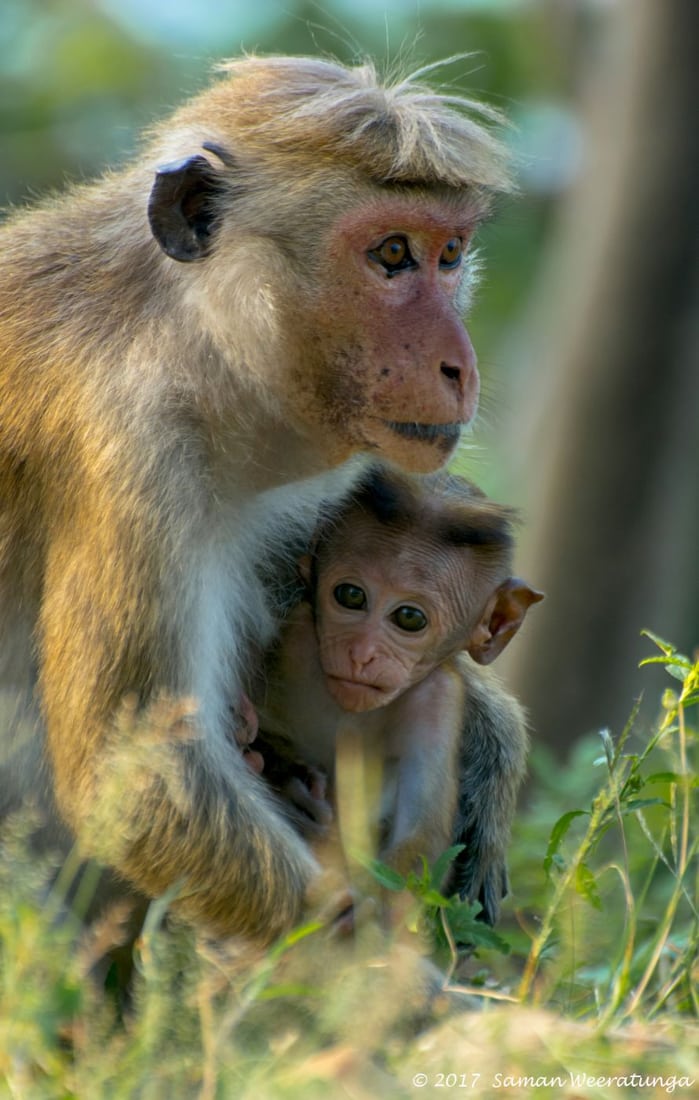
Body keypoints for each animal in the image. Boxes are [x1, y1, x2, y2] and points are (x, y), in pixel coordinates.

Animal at [248, 468, 543, 924]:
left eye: (409, 618)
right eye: (351, 595)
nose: (361, 653)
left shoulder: (439, 698)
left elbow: (422, 834)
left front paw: (365, 909)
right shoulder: (296, 631)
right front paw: (284, 775)